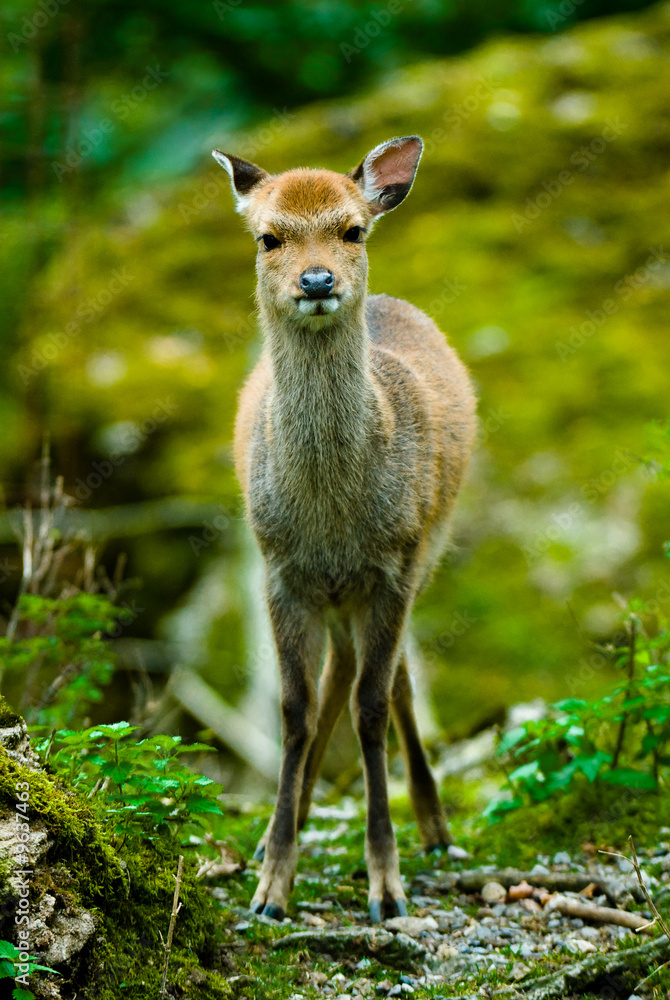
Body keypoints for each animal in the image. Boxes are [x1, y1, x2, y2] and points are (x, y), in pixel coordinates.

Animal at [212, 135, 477, 922]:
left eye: (353, 229)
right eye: (268, 237)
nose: (317, 279)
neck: (332, 516)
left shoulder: (392, 566)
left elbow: (372, 709)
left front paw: (386, 885)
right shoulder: (278, 571)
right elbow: (295, 711)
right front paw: (272, 884)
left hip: (427, 546)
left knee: (391, 681)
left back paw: (436, 829)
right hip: (336, 592)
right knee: (339, 673)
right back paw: (285, 828)